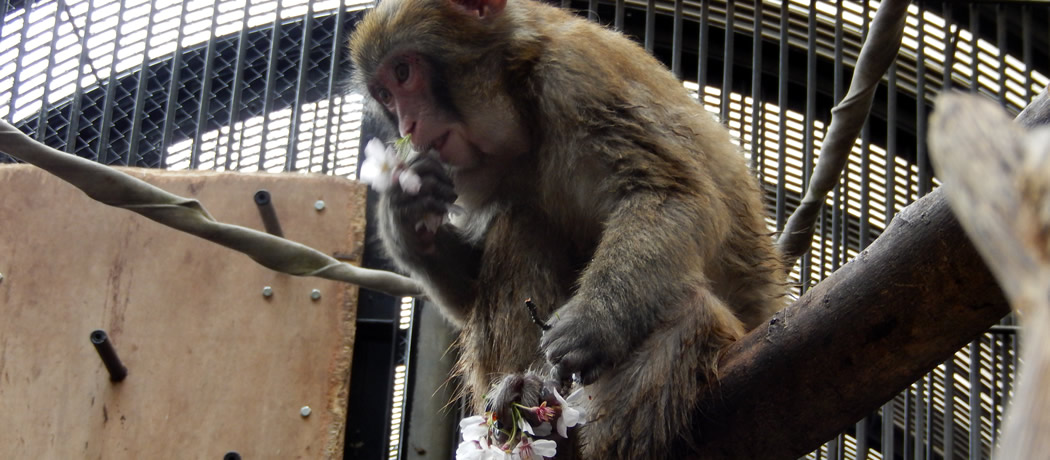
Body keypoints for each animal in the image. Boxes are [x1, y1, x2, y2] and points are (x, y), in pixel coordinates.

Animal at [348, 0, 785, 455]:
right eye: (385, 95)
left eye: (403, 73)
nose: (407, 127)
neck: (522, 109)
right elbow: (467, 293)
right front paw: (405, 214)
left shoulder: (576, 77)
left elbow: (670, 191)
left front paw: (594, 322)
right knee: (522, 224)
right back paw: (527, 398)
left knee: (689, 314)